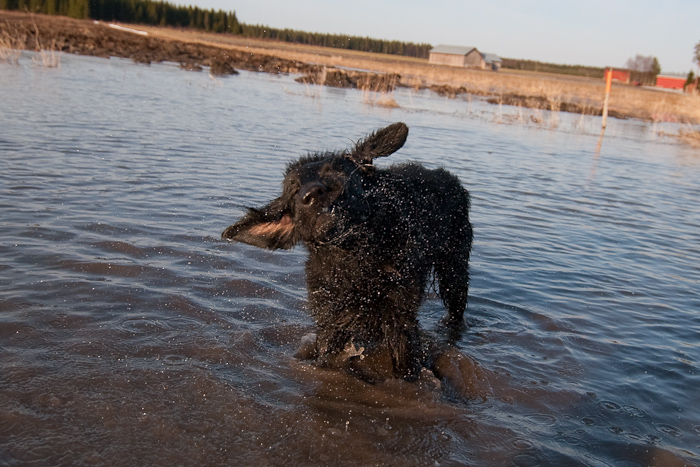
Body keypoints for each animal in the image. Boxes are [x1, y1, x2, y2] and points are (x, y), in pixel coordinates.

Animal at [222, 122, 473, 381]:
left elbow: (404, 361)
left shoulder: (400, 316)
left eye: (334, 171)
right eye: (294, 190)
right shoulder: (331, 319)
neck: (355, 260)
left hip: (454, 271)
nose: (312, 194)